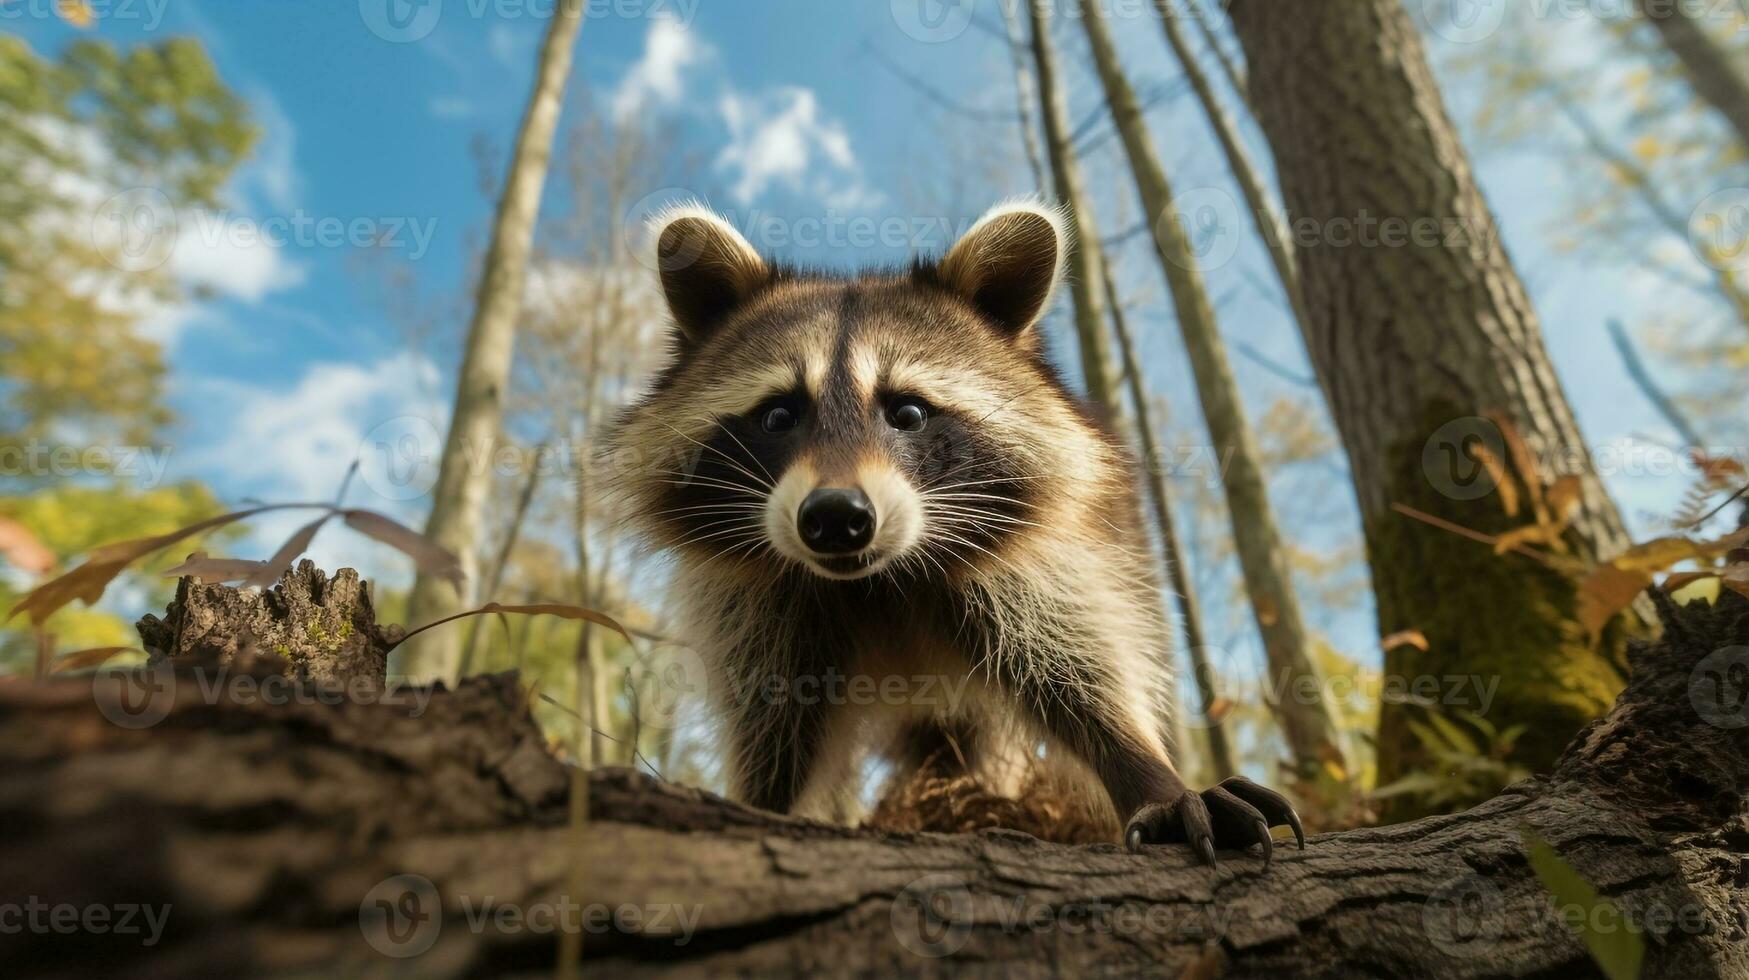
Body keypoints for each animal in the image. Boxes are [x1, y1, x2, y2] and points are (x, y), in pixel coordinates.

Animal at [608, 199, 1308, 864]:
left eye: (909, 412)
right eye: (779, 414)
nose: (834, 518)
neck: (880, 581)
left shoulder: (1035, 564)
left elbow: (1078, 667)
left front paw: (1150, 775)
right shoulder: (760, 602)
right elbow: (775, 721)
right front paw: (764, 803)